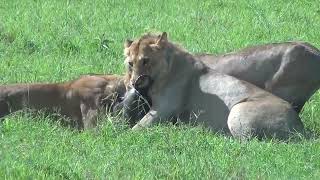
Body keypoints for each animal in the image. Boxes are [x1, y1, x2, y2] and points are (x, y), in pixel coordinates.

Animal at [124, 32, 304, 139]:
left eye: (146, 61)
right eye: (131, 63)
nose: (134, 82)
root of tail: (299, 124)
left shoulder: (164, 109)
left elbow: (136, 129)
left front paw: (122, 137)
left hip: (238, 111)